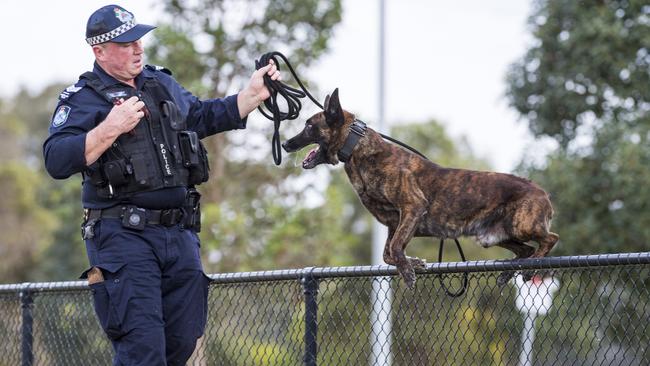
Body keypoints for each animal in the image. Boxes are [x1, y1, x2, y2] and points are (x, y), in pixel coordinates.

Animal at [282, 89, 556, 288]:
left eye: (309, 126)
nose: (285, 144)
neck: (357, 149)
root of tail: (542, 192)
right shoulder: (395, 223)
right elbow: (388, 253)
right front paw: (413, 263)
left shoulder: (412, 208)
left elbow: (394, 249)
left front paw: (408, 272)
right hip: (497, 236)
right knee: (525, 250)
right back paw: (510, 272)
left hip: (523, 225)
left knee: (550, 239)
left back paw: (533, 265)